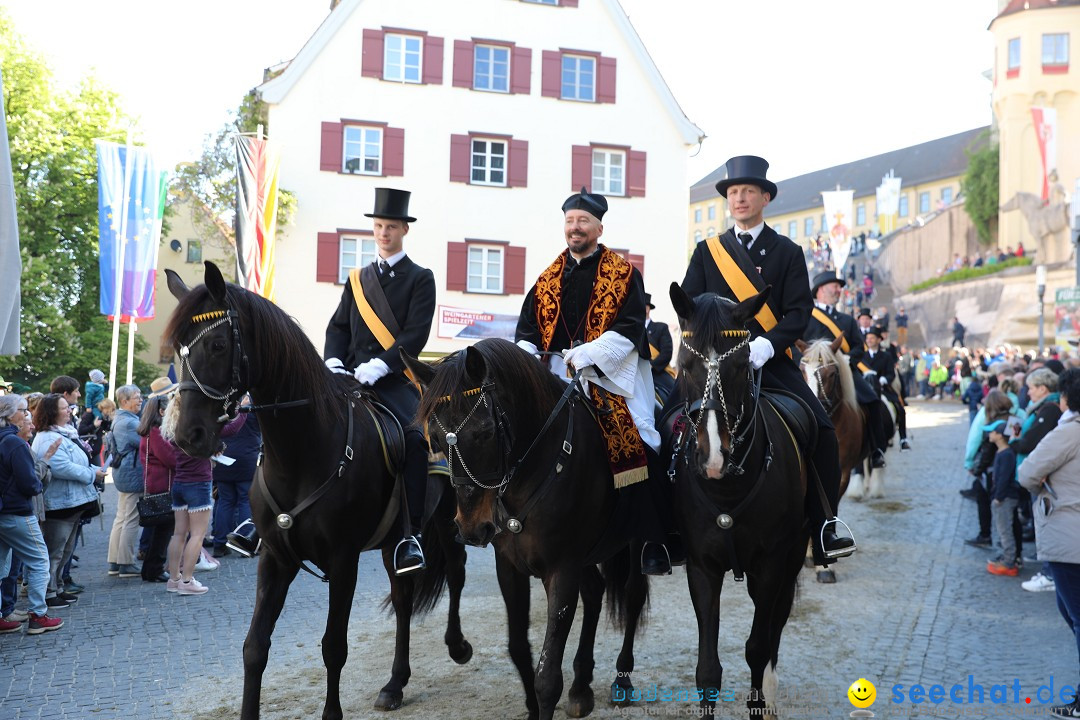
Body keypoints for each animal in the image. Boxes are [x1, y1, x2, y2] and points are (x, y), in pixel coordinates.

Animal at [164, 264, 473, 720]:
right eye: (177, 351)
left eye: (218, 344)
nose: (188, 435)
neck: (304, 451)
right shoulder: (276, 559)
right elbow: (254, 647)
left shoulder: (343, 561)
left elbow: (334, 647)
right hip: (393, 540)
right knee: (403, 597)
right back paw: (395, 684)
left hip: (450, 517)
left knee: (455, 570)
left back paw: (457, 645)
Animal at [401, 341, 643, 720]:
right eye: (436, 439)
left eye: (485, 432)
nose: (470, 527)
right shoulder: (511, 566)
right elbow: (517, 646)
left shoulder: (562, 570)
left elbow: (548, 676)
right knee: (595, 592)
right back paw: (581, 685)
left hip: (638, 538)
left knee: (633, 595)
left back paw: (622, 677)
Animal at [665, 284, 812, 716]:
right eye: (685, 364)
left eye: (741, 364)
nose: (713, 457)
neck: (727, 488)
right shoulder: (702, 567)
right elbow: (707, 669)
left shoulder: (772, 565)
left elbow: (757, 648)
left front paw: (760, 703)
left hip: (792, 556)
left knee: (776, 622)